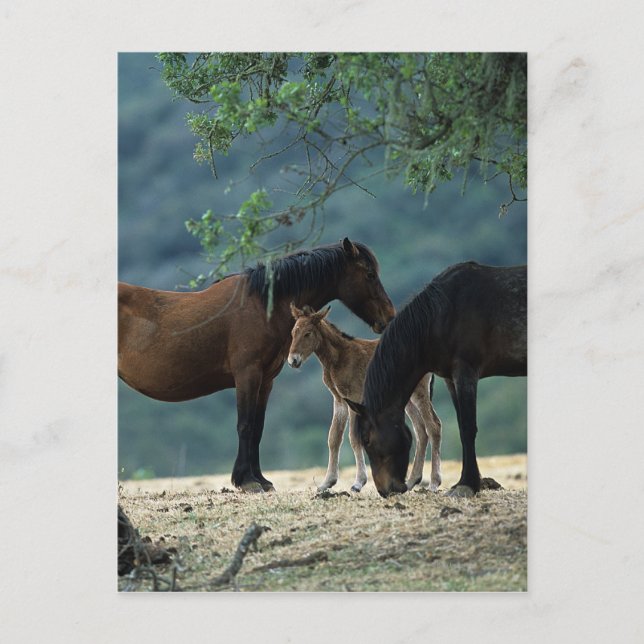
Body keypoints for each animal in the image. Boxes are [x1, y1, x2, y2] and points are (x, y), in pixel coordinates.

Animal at [118, 238, 395, 492]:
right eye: (369, 274)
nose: (390, 317)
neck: (261, 305)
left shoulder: (266, 380)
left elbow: (258, 428)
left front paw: (260, 479)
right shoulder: (247, 375)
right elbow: (245, 425)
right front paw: (247, 481)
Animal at [287, 304, 442, 493]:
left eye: (308, 333)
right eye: (293, 332)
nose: (293, 361)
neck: (338, 358)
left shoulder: (354, 397)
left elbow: (354, 438)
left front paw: (358, 482)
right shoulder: (339, 400)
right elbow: (333, 438)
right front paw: (327, 482)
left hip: (419, 393)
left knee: (433, 426)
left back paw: (434, 483)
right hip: (407, 398)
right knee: (421, 430)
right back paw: (412, 481)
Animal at [346, 261, 527, 498]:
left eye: (367, 439)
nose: (385, 490)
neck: (442, 315)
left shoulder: (465, 373)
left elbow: (468, 428)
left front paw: (467, 484)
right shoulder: (451, 379)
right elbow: (460, 426)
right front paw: (464, 482)